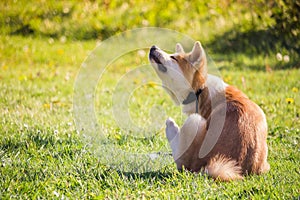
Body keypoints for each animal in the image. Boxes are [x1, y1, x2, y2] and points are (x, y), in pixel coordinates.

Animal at [149, 41, 270, 181]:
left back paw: (171, 126)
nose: (153, 47)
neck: (200, 90)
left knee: (180, 159)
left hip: (194, 122)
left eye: (173, 57)